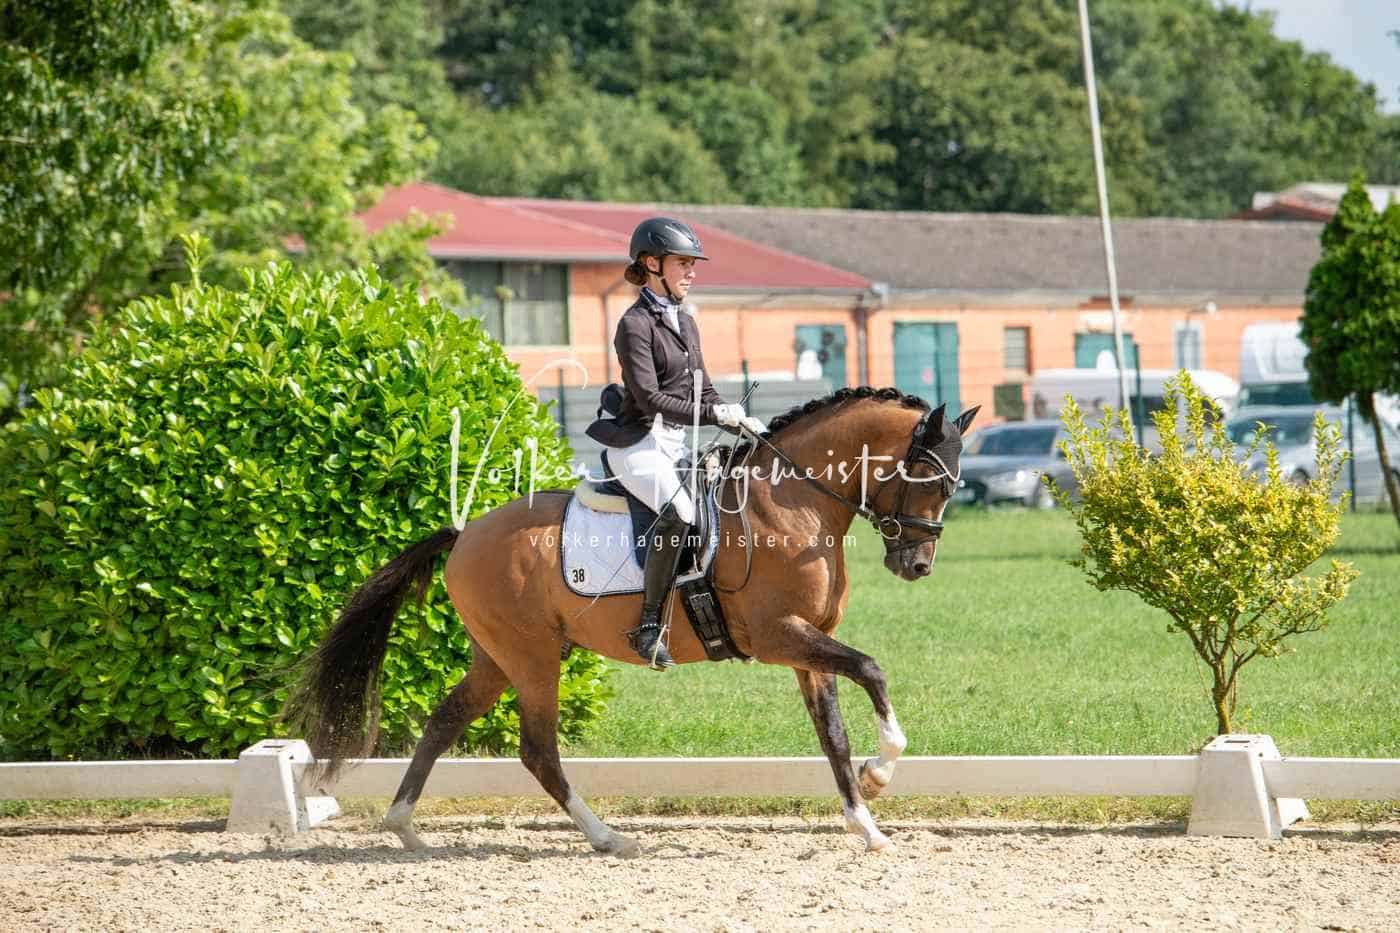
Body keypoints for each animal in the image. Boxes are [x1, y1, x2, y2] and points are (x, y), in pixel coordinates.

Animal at [283, 386, 978, 855]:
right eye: (929, 478)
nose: (917, 564)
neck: (792, 500)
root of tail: (464, 533)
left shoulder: (810, 645)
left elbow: (833, 734)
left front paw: (868, 824)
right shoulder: (781, 636)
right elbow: (873, 670)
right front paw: (881, 773)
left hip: (500, 657)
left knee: (447, 718)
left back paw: (404, 825)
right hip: (533, 659)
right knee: (538, 750)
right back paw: (608, 837)